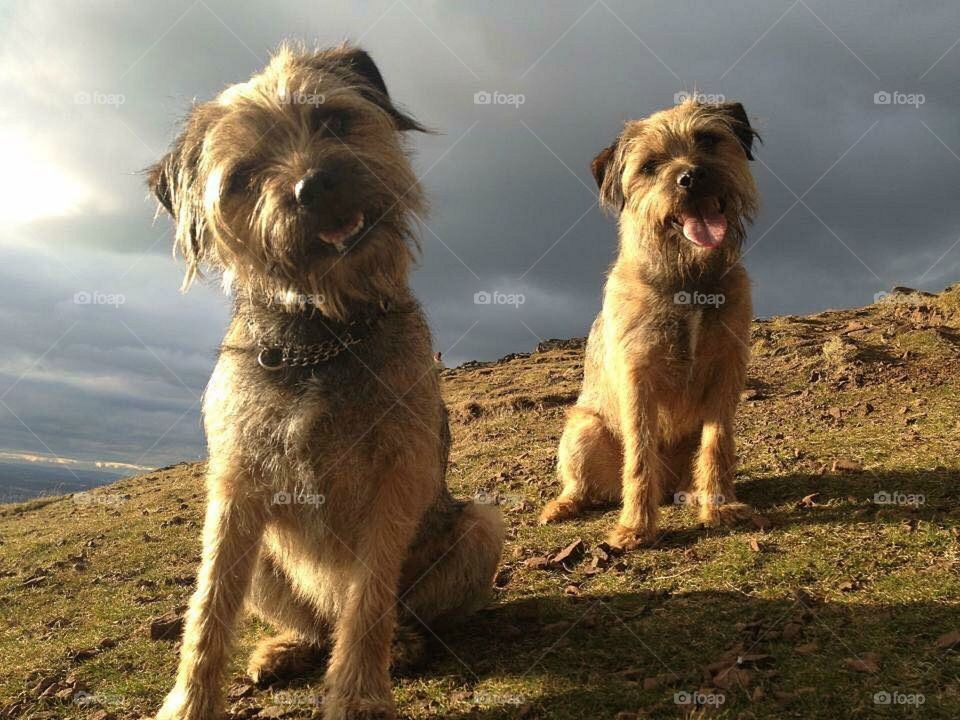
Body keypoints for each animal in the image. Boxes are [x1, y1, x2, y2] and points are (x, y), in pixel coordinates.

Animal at [148, 45, 502, 720]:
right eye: (244, 175)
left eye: (334, 121)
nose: (313, 186)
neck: (324, 332)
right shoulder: (236, 486)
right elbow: (209, 603)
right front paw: (188, 702)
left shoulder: (397, 475)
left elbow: (369, 599)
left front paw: (359, 694)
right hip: (267, 559)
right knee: (314, 623)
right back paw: (286, 647)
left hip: (480, 526)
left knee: (394, 612)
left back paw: (406, 643)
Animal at [540, 98, 756, 552]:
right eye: (650, 165)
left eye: (708, 139)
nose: (692, 177)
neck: (689, 281)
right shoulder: (638, 378)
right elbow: (639, 456)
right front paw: (636, 528)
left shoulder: (728, 369)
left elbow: (717, 444)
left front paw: (721, 507)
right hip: (582, 430)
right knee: (580, 484)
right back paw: (562, 506)